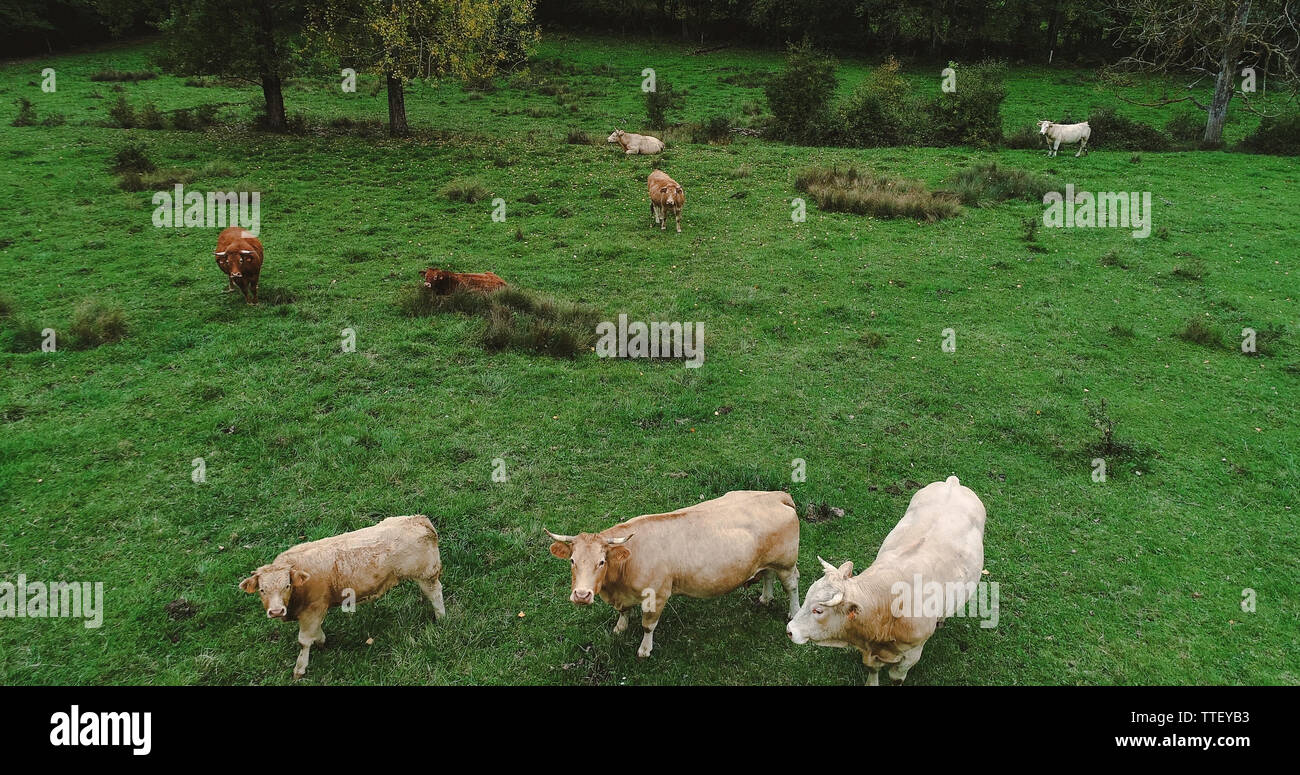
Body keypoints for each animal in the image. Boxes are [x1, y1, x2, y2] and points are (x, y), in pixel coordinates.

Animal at [239, 515, 446, 680]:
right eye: (262, 590)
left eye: (287, 585)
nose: (276, 611)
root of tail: (419, 519)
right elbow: (315, 633)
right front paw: (321, 642)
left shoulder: (313, 609)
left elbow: (304, 640)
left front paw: (299, 669)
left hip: (426, 575)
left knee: (435, 594)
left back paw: (441, 618)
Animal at [545, 490, 799, 658]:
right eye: (572, 561)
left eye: (601, 561)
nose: (582, 595)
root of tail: (775, 495)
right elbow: (623, 612)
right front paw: (620, 628)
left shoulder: (657, 596)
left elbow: (648, 626)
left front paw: (644, 650)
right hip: (769, 561)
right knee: (768, 575)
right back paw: (765, 598)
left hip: (786, 563)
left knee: (792, 585)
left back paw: (794, 614)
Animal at [787, 476, 986, 685]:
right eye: (806, 597)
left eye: (818, 610)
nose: (790, 630)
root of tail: (952, 482)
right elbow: (872, 669)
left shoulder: (912, 654)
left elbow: (896, 678)